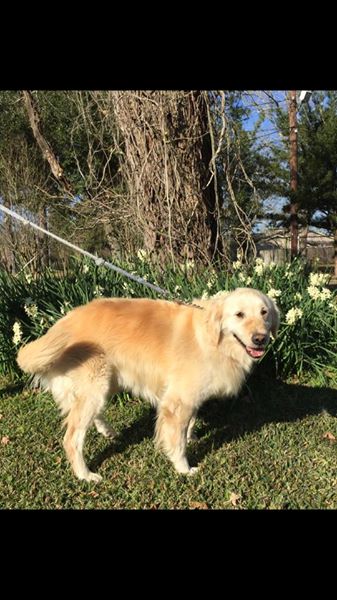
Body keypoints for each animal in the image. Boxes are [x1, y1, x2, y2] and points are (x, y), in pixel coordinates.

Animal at [17, 288, 278, 482]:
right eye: (239, 314)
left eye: (264, 312)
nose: (260, 339)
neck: (214, 340)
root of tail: (61, 324)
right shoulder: (177, 402)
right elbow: (177, 441)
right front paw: (183, 468)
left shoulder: (190, 396)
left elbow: (190, 423)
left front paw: (192, 436)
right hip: (96, 386)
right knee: (72, 439)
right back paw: (85, 475)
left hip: (106, 383)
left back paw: (107, 431)